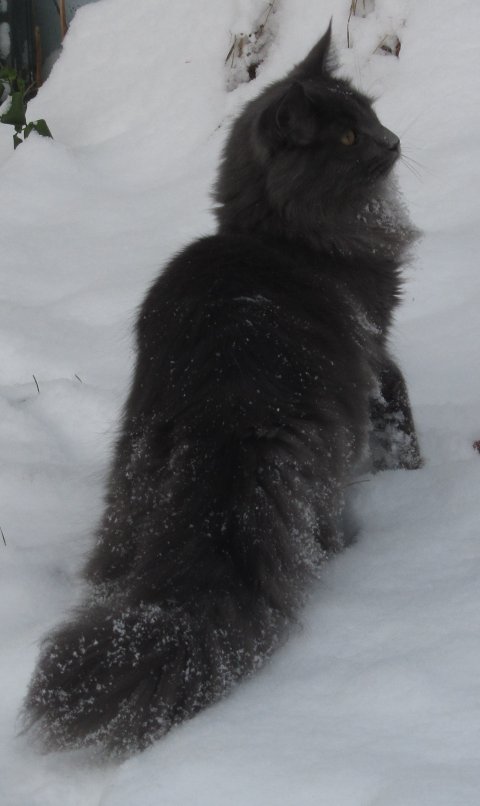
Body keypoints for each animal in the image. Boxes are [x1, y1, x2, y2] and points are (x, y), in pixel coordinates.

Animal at [23, 24, 421, 757]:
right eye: (347, 137)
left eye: (368, 116)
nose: (392, 141)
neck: (284, 236)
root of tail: (220, 398)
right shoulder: (378, 353)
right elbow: (401, 422)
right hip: (320, 457)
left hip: (135, 469)